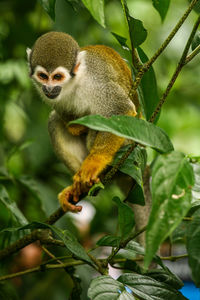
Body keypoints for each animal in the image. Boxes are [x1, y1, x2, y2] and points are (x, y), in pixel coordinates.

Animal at [27, 31, 138, 212]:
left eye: (57, 77)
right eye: (43, 76)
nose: (49, 88)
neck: (73, 83)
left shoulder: (98, 84)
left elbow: (121, 110)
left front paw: (95, 162)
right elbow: (64, 117)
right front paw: (76, 126)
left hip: (129, 148)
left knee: (101, 119)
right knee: (54, 121)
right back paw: (78, 188)